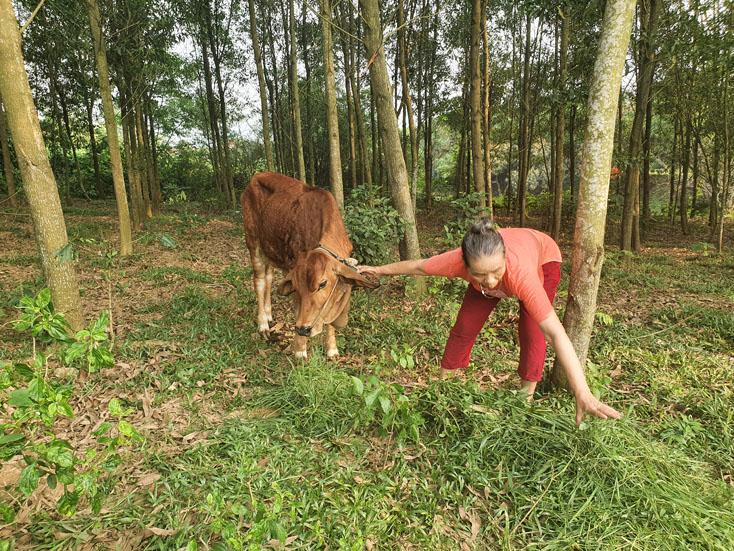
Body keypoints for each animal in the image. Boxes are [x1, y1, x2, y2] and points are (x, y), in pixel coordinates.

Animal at [243, 174, 380, 362]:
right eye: (297, 285)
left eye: (322, 284)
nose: (303, 329)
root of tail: (256, 176)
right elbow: (298, 309)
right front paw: (300, 350)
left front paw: (332, 349)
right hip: (253, 241)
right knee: (259, 280)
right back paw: (263, 324)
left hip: (271, 249)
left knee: (269, 277)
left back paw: (269, 315)